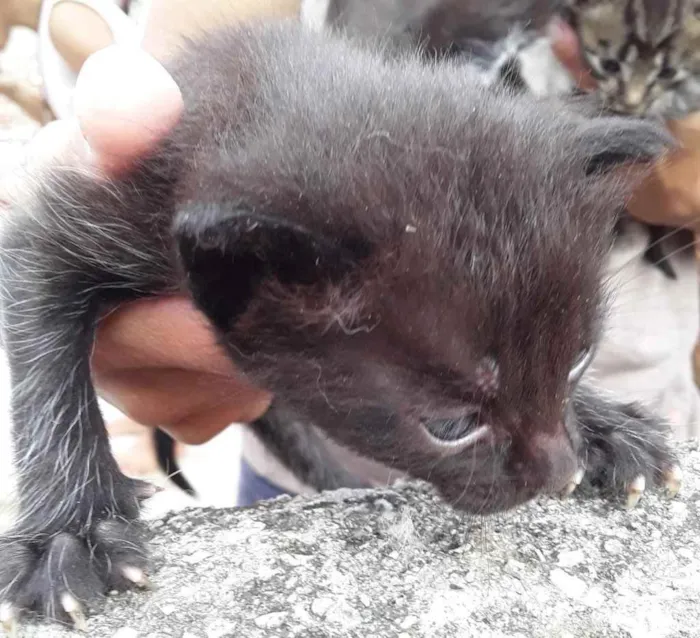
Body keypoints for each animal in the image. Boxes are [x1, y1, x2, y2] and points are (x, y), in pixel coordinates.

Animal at [0, 18, 680, 632]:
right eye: (451, 426)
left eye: (578, 361)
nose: (559, 474)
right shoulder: (96, 218)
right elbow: (45, 361)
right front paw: (72, 531)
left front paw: (609, 430)